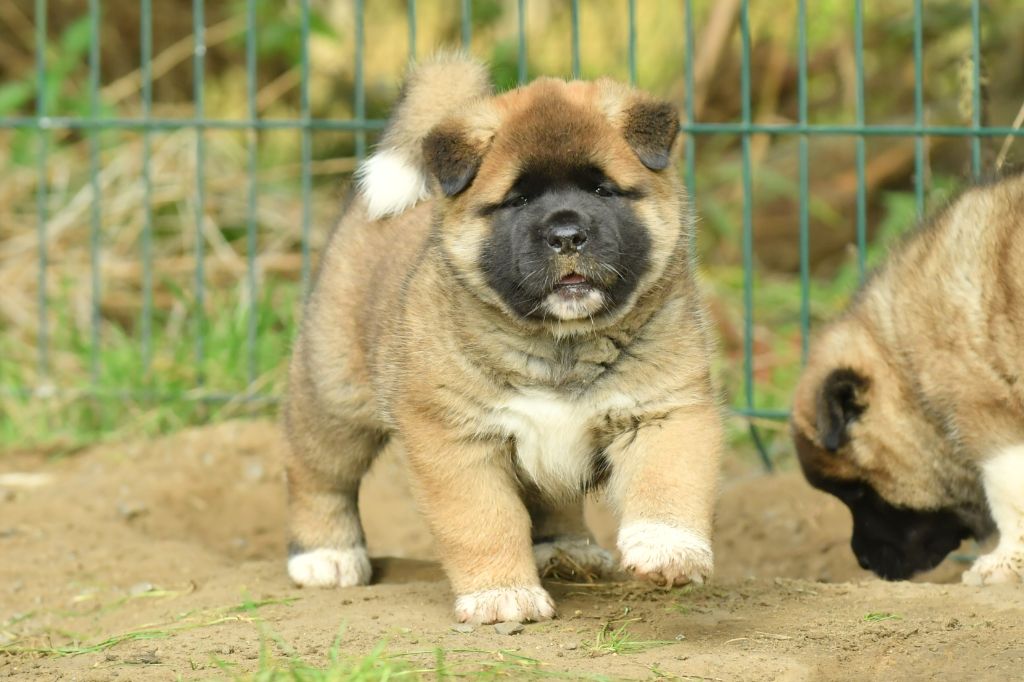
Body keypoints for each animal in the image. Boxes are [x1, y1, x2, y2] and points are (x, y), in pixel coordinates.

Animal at [284, 55, 724, 622]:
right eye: (519, 200)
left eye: (602, 190)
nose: (566, 236)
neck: (561, 343)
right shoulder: (456, 439)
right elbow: (485, 522)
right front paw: (502, 595)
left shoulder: (664, 409)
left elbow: (667, 480)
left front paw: (668, 549)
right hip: (335, 396)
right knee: (316, 473)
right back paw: (326, 554)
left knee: (553, 497)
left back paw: (566, 549)